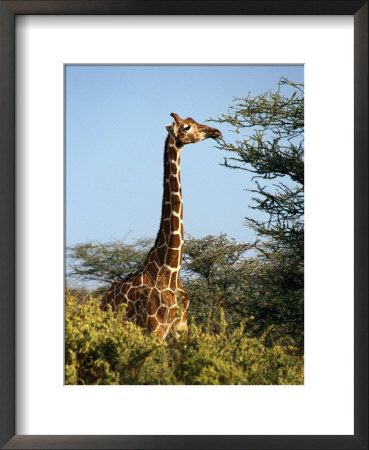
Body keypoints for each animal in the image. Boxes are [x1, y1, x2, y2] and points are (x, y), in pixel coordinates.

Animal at [100, 111, 220, 338]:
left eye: (194, 121)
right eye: (186, 127)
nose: (216, 131)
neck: (170, 270)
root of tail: (103, 300)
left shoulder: (181, 330)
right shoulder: (155, 329)